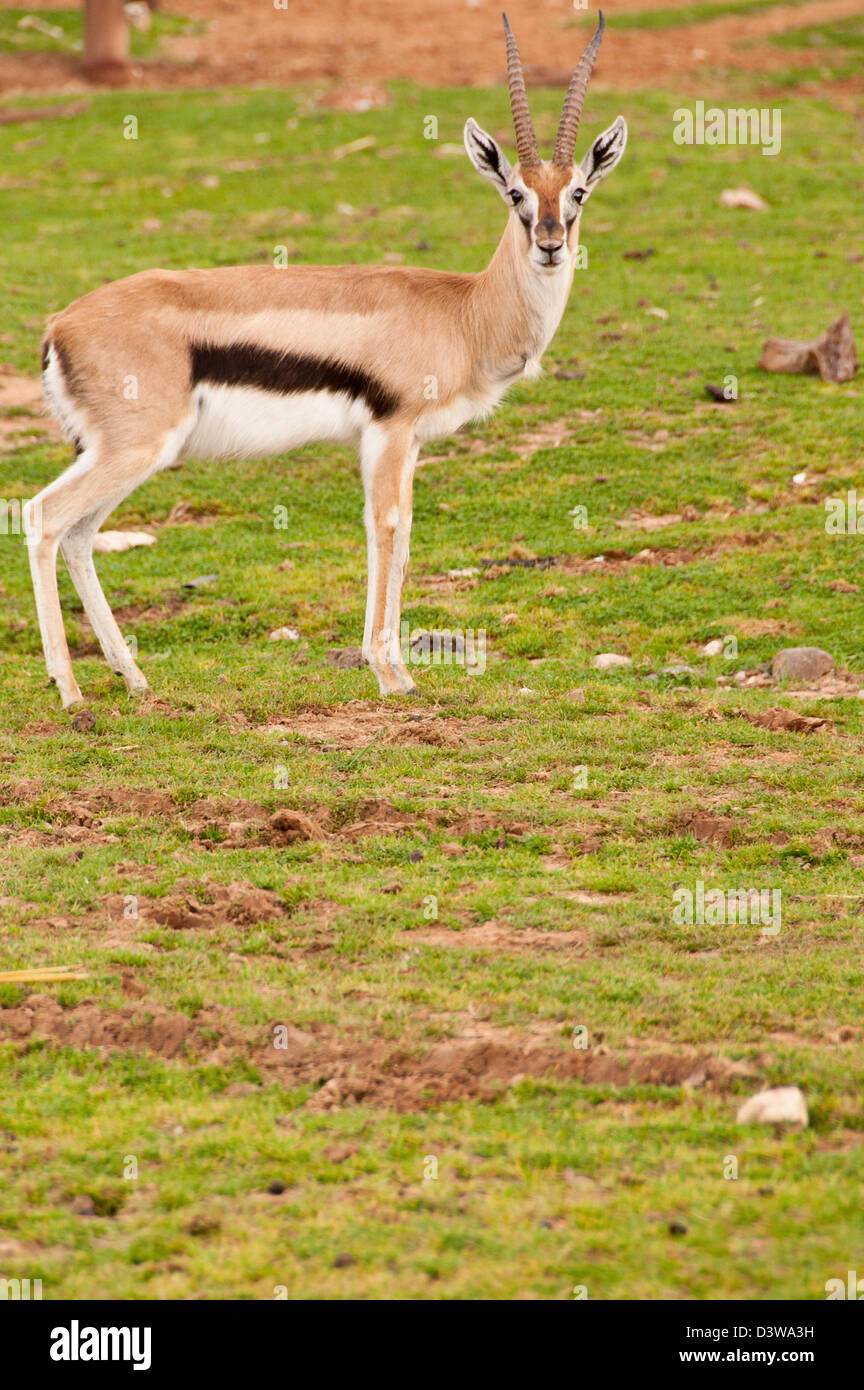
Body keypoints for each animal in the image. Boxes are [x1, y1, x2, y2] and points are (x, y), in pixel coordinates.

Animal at [27, 12, 626, 709]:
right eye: (514, 194)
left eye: (577, 191)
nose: (551, 245)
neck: (463, 312)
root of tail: (59, 326)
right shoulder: (389, 431)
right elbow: (387, 529)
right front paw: (391, 673)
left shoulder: (408, 441)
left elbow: (400, 534)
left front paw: (391, 667)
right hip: (134, 450)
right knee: (44, 518)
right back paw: (71, 691)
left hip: (120, 455)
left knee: (79, 535)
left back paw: (134, 677)